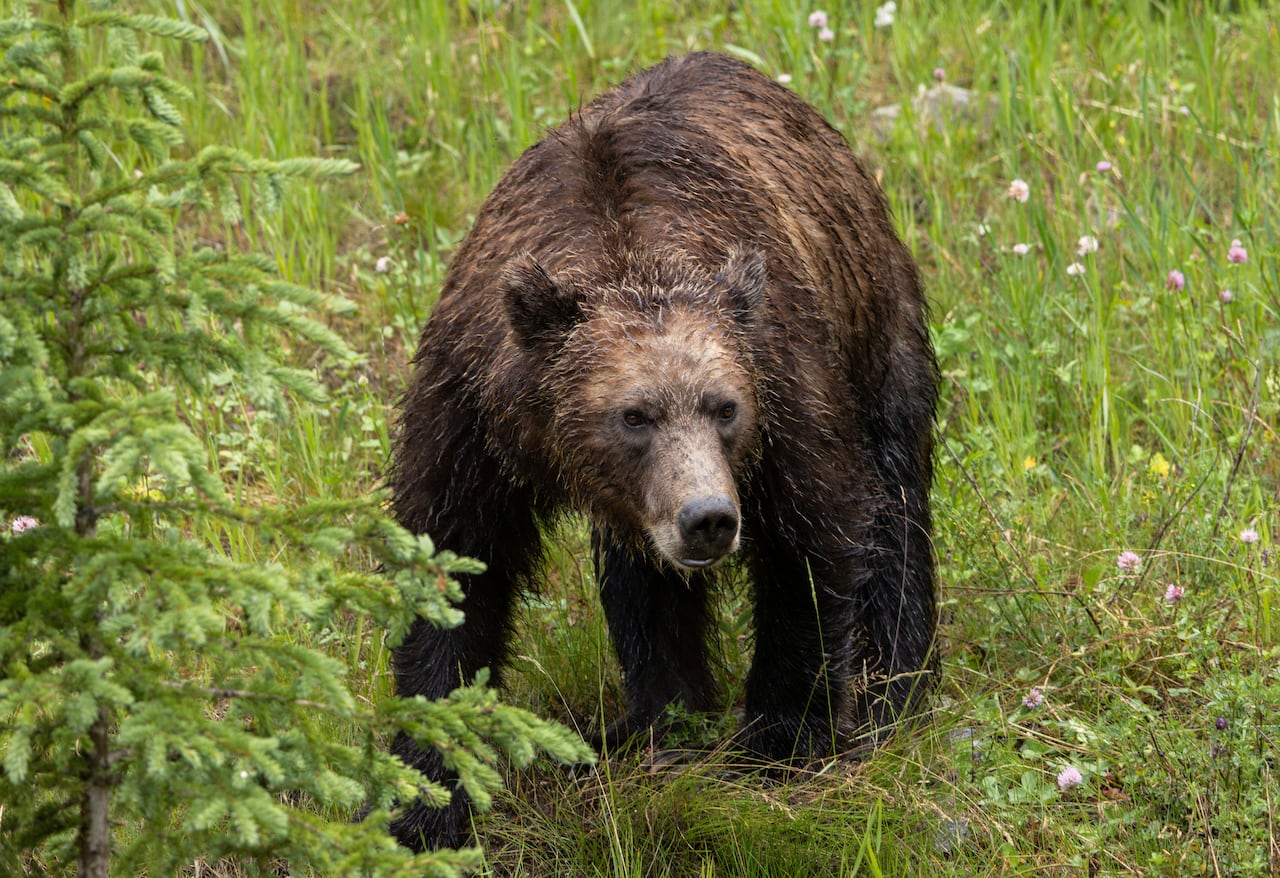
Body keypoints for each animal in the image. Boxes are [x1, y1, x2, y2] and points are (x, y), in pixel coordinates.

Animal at [388, 51, 937, 851]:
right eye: (634, 416)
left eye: (725, 407)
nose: (707, 518)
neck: (624, 250)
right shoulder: (471, 413)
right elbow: (456, 566)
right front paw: (425, 799)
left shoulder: (783, 382)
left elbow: (811, 545)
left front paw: (780, 742)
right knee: (640, 582)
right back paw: (657, 720)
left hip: (875, 327)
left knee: (896, 507)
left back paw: (894, 687)